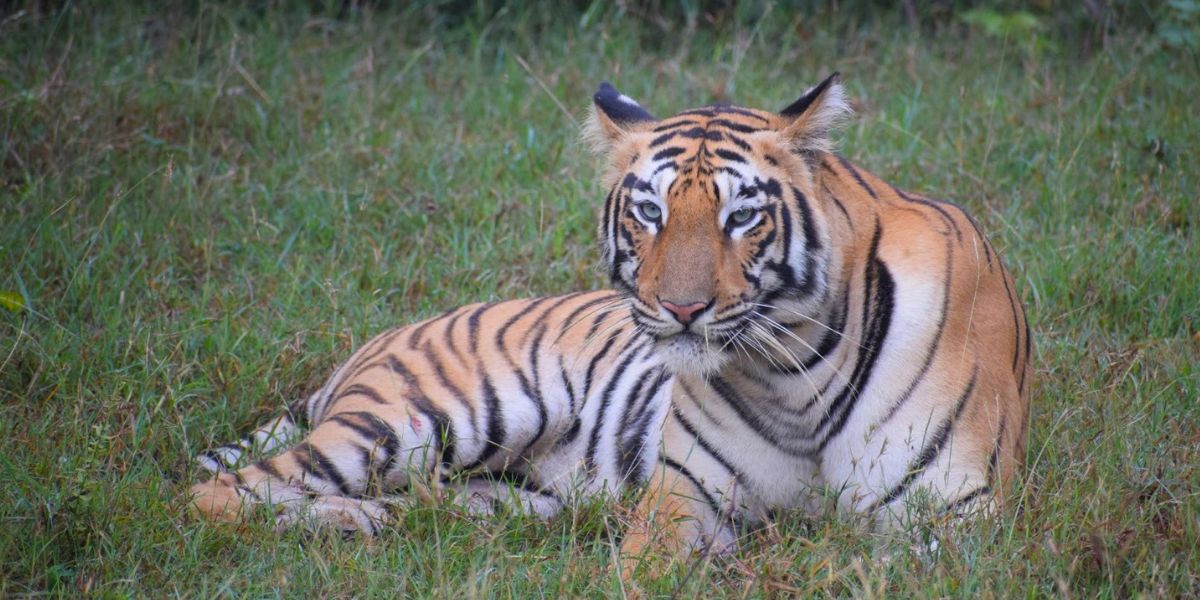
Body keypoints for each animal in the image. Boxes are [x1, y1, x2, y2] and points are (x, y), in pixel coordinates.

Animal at [189, 74, 1030, 572]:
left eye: (741, 217)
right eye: (650, 212)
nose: (683, 308)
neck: (794, 370)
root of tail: (371, 346)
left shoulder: (955, 516)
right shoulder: (685, 497)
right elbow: (649, 569)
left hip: (502, 487)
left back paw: (376, 523)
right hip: (426, 419)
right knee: (216, 497)